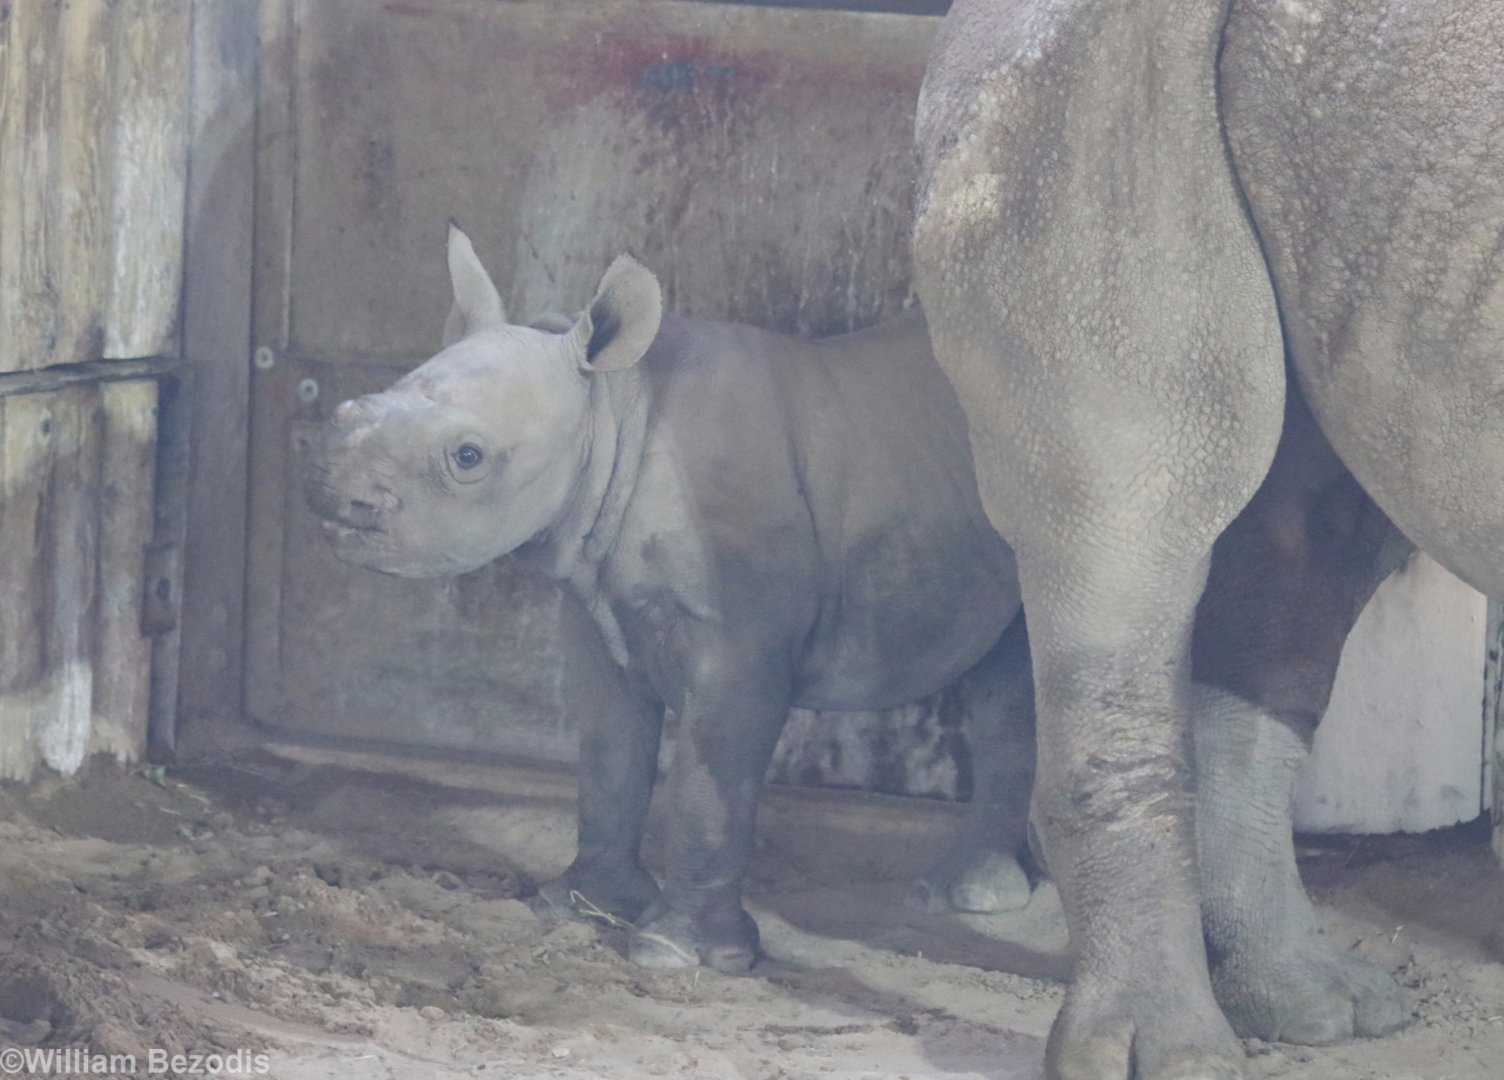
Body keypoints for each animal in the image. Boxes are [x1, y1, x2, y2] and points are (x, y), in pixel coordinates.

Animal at [304, 225, 1038, 970]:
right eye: (349, 407)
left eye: (467, 457)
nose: (335, 496)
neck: (610, 408)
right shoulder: (596, 605)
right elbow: (609, 754)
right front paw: (575, 905)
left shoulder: (738, 644)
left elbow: (707, 780)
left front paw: (673, 952)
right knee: (1010, 673)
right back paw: (973, 894)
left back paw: (970, 897)